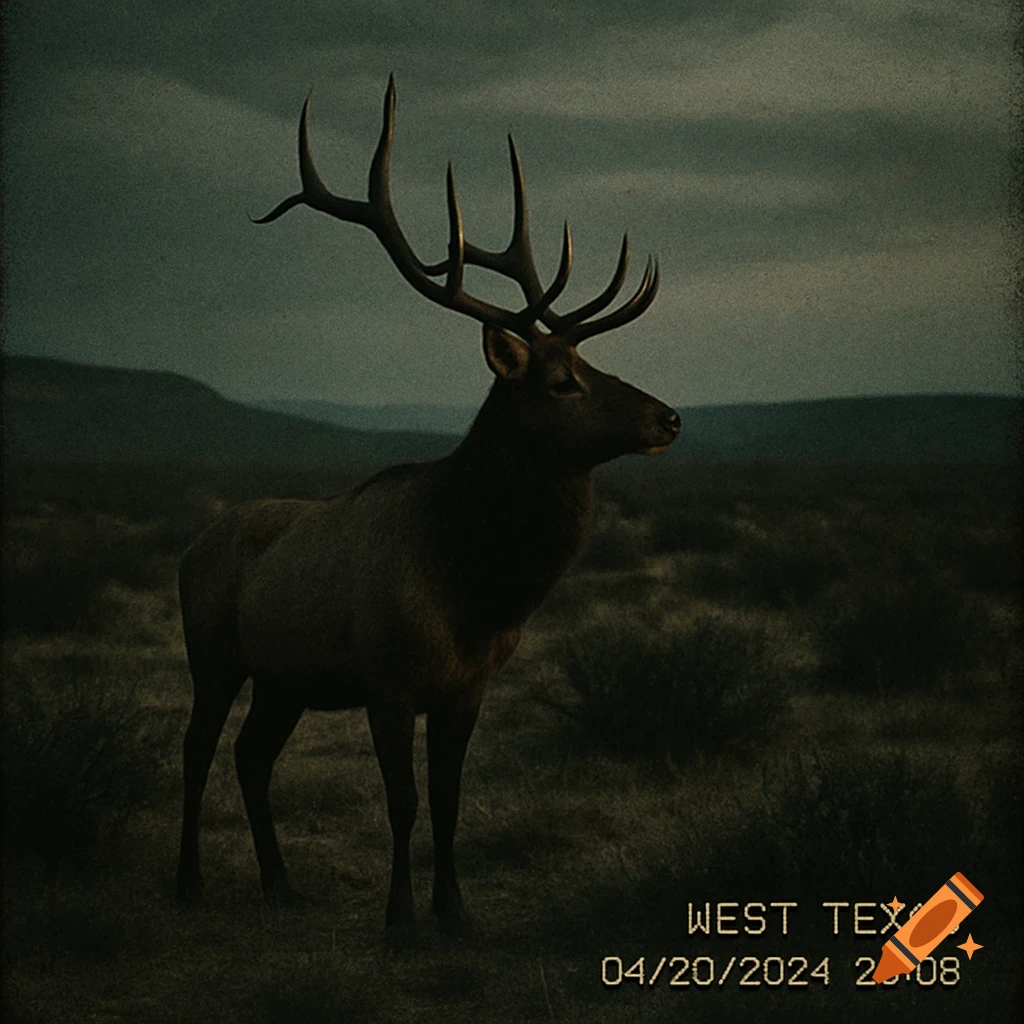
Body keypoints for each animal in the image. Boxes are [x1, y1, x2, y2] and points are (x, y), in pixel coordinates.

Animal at [176, 75, 680, 939]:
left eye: (597, 363)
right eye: (561, 381)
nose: (669, 417)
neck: (473, 593)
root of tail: (191, 546)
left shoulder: (468, 688)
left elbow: (448, 801)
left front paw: (457, 914)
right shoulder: (388, 682)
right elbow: (404, 803)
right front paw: (401, 922)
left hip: (283, 677)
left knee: (250, 755)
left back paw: (281, 884)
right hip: (212, 654)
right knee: (197, 749)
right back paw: (190, 884)